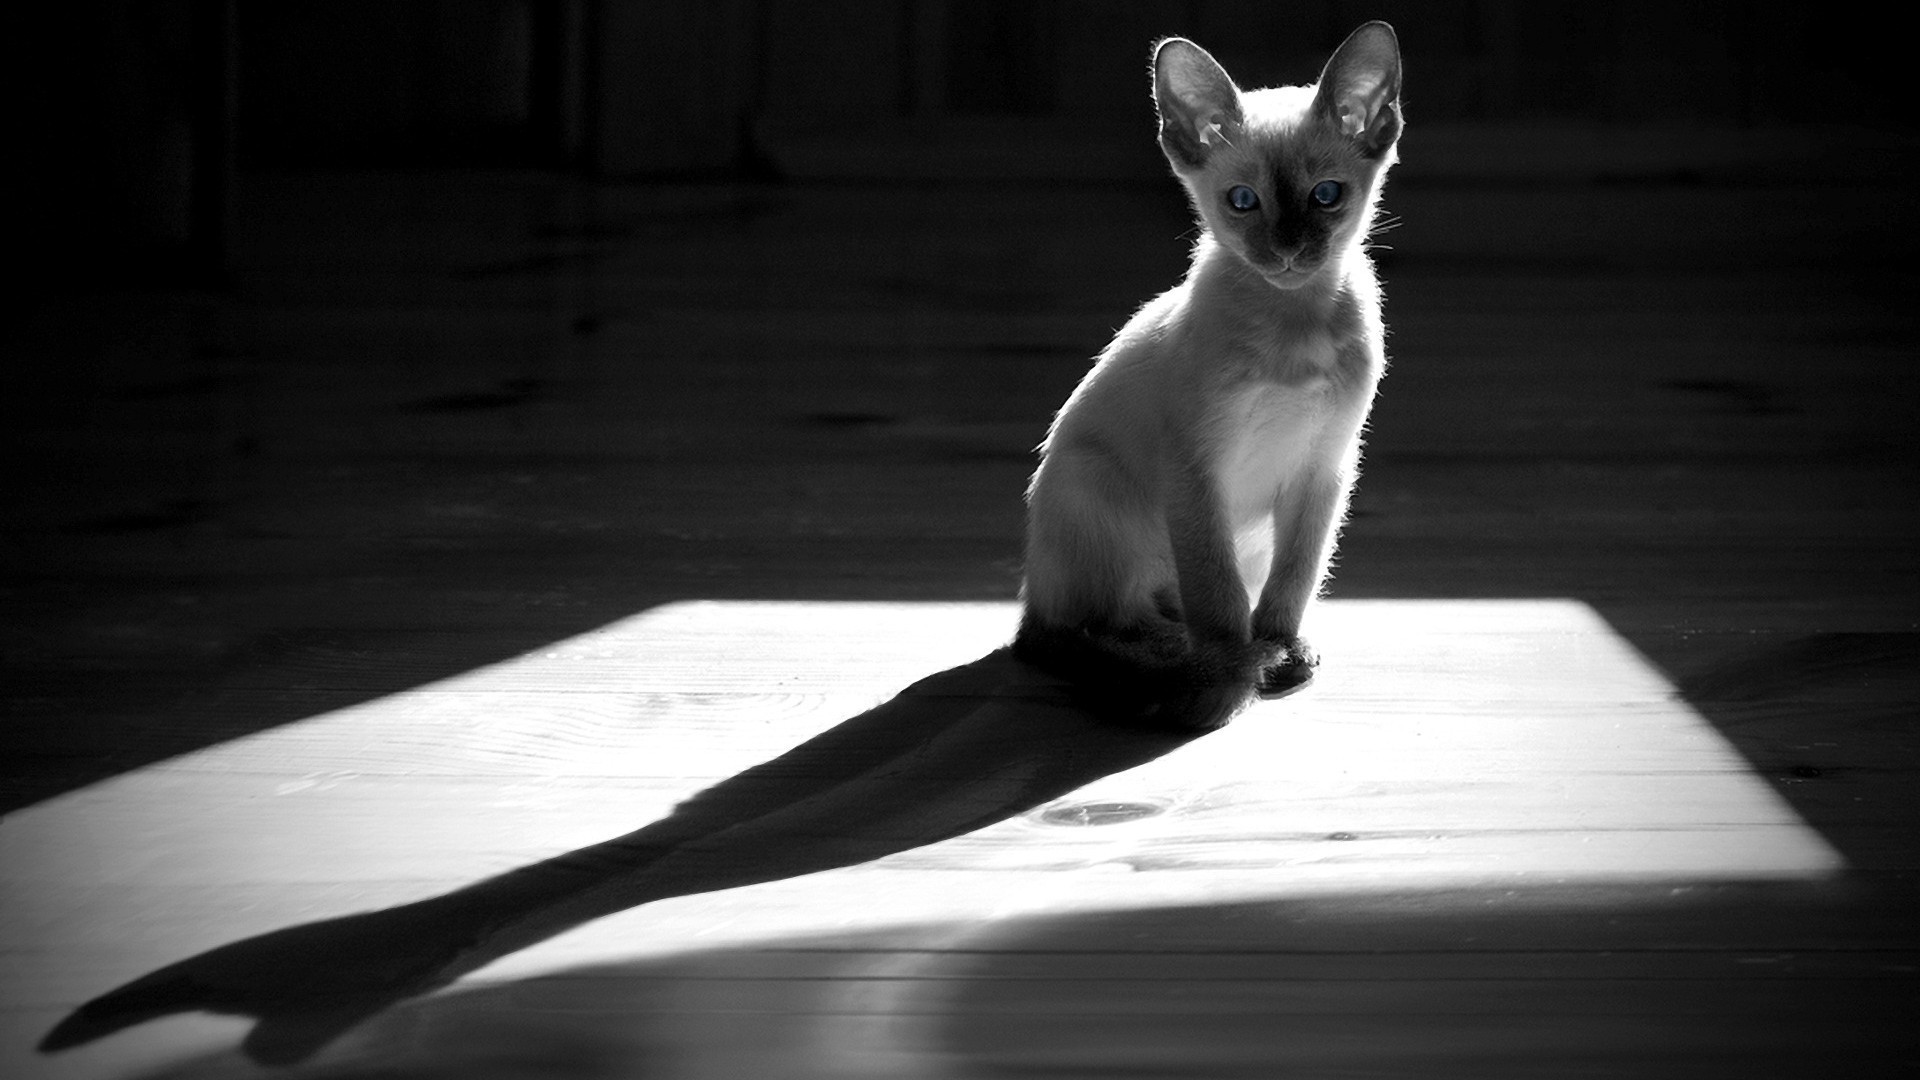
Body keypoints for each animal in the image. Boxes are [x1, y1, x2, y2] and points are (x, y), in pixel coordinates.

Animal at [1013, 21, 1405, 726]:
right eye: (1242, 202)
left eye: (1326, 196)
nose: (1286, 251)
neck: (1292, 320)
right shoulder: (1197, 470)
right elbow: (1216, 595)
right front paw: (1234, 667)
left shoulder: (1326, 468)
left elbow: (1296, 576)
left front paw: (1280, 647)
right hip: (1095, 479)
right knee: (1091, 626)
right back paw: (1181, 660)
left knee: (1162, 606)